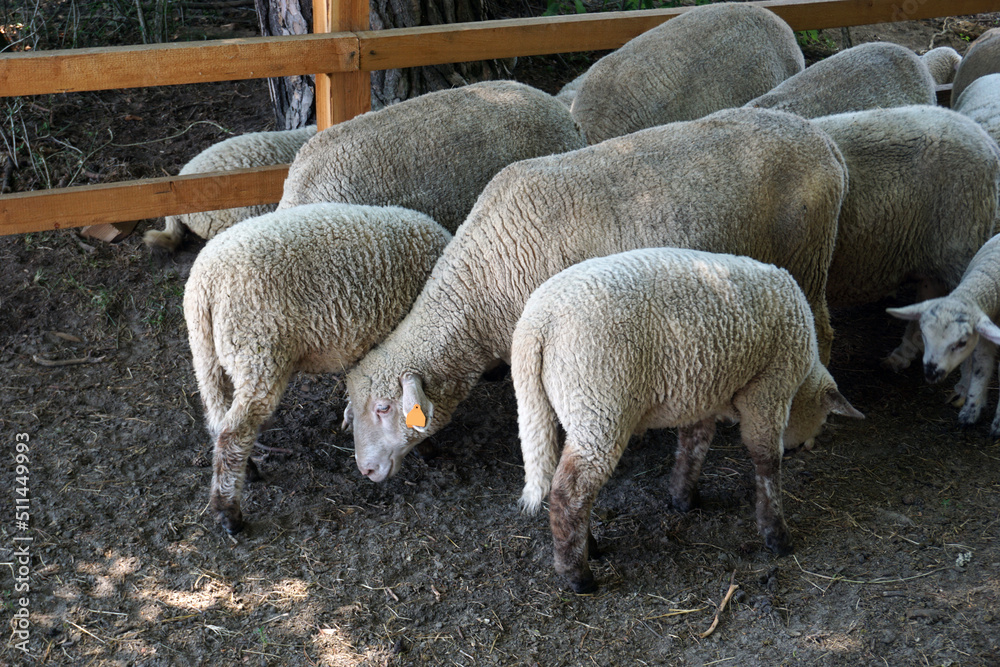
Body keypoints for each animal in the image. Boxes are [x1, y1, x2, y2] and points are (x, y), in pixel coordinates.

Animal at [183, 202, 451, 534]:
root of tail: (205, 283)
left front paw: (350, 416)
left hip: (207, 356)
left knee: (217, 419)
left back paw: (248, 471)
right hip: (257, 351)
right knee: (233, 432)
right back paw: (228, 513)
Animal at [344, 107, 848, 484]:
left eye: (384, 408)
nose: (365, 470)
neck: (484, 282)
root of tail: (824, 142)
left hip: (808, 253)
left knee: (821, 330)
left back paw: (803, 425)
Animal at [513, 248, 863, 592]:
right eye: (821, 419)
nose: (802, 447)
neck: (800, 381)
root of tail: (537, 323)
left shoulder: (701, 394)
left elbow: (694, 445)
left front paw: (684, 497)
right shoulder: (768, 388)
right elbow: (765, 461)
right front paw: (777, 535)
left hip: (569, 408)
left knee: (566, 483)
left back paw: (587, 546)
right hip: (598, 405)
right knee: (568, 491)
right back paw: (577, 575)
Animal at [887, 234, 1000, 435]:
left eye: (962, 343)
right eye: (923, 335)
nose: (931, 374)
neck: (991, 274)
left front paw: (997, 424)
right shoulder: (983, 339)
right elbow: (981, 369)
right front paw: (970, 412)